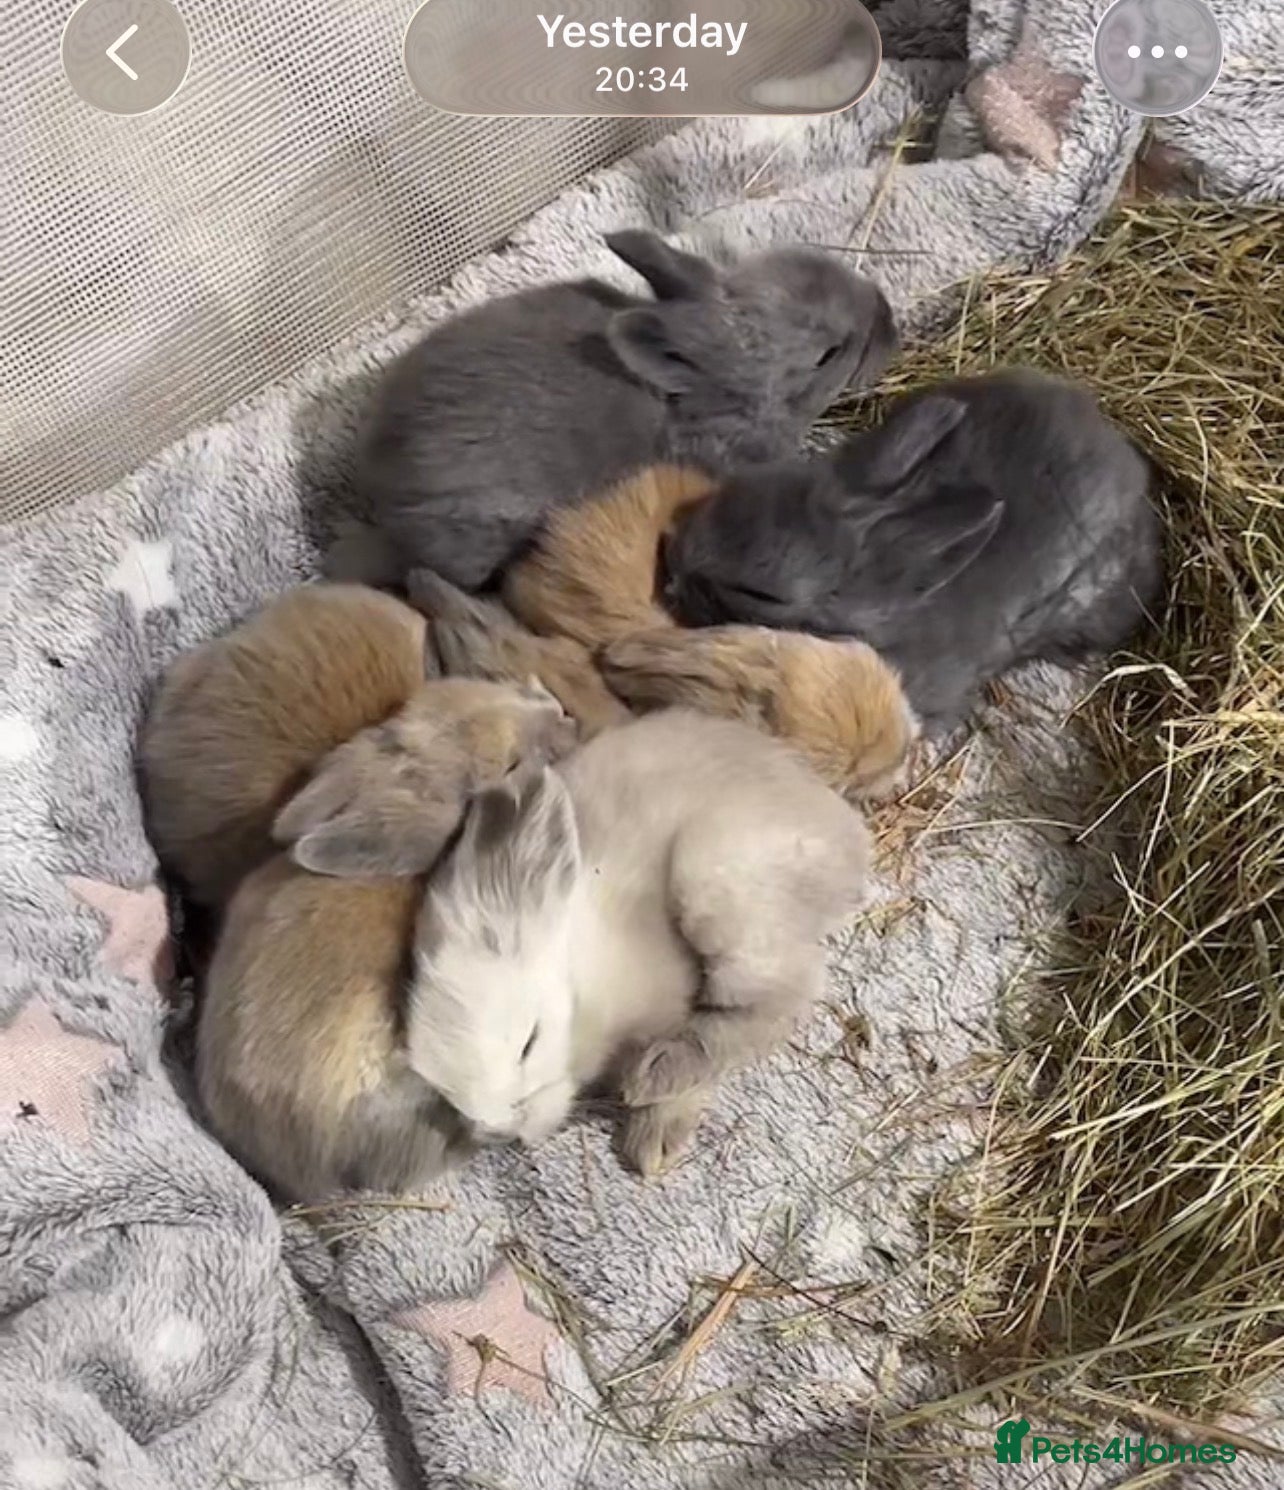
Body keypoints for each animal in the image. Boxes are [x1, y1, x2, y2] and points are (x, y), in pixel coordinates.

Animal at [398, 710, 872, 1177]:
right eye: (442, 1086)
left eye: (529, 1042)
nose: (501, 1128)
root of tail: (845, 829)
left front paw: (653, 1140)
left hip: (714, 880)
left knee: (780, 1001)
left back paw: (653, 1079)